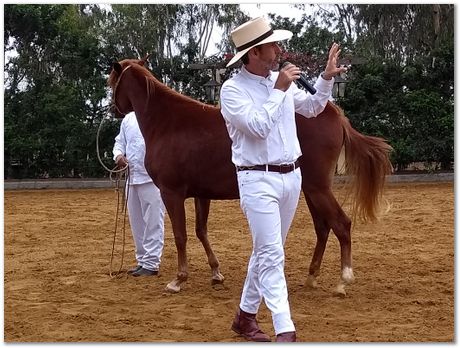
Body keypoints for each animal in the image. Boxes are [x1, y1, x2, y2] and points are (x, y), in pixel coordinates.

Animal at [108, 55, 392, 294]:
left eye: (112, 82)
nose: (113, 109)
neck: (168, 122)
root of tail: (335, 114)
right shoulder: (201, 194)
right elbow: (201, 231)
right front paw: (216, 273)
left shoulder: (172, 193)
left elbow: (181, 236)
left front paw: (179, 279)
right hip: (311, 190)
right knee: (323, 228)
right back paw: (311, 277)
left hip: (317, 188)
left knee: (341, 224)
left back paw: (343, 280)